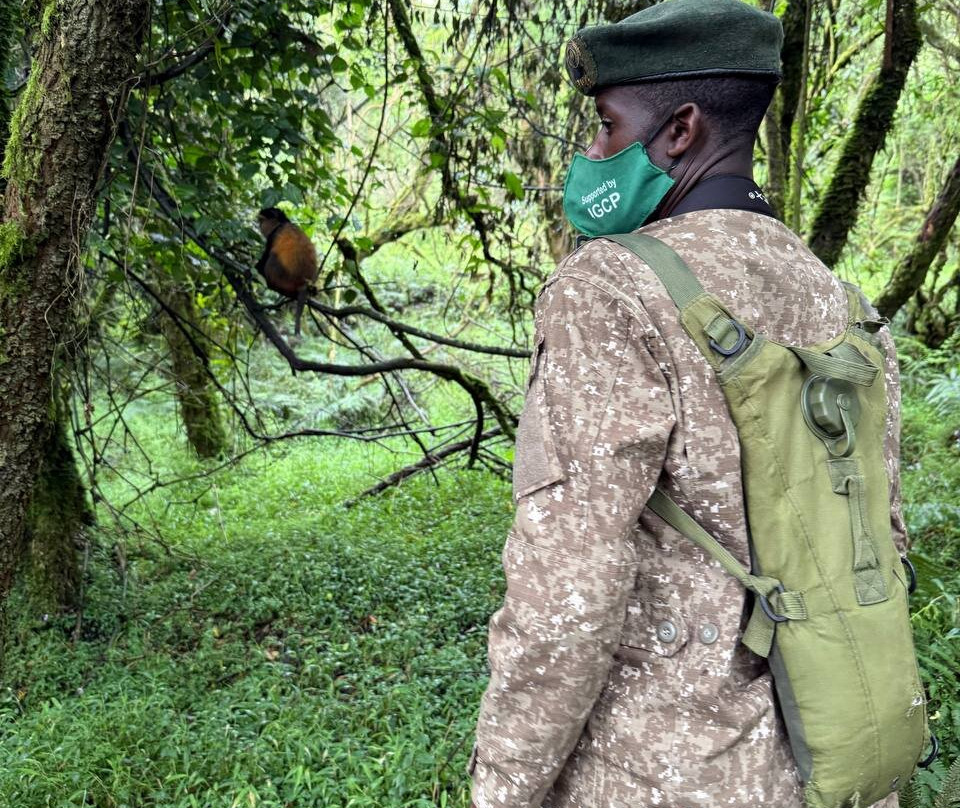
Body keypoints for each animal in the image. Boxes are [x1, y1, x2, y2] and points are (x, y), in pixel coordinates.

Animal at [255, 207, 318, 337]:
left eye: (262, 221)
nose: (259, 226)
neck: (283, 222)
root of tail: (303, 283)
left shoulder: (274, 235)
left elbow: (264, 259)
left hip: (282, 275)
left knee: (272, 257)